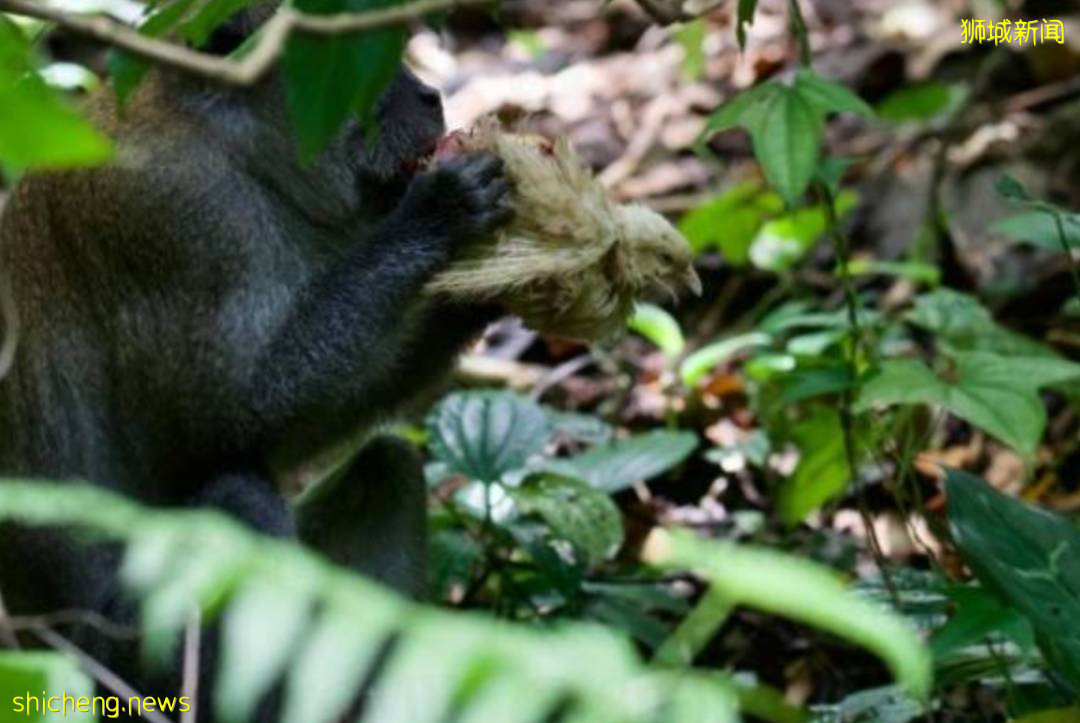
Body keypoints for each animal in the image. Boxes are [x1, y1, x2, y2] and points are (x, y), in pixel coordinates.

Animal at [0, 1, 511, 717]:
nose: (429, 95)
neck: (225, 141)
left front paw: (482, 296)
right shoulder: (182, 219)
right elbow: (229, 418)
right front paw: (435, 217)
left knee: (384, 467)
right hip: (131, 667)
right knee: (239, 498)